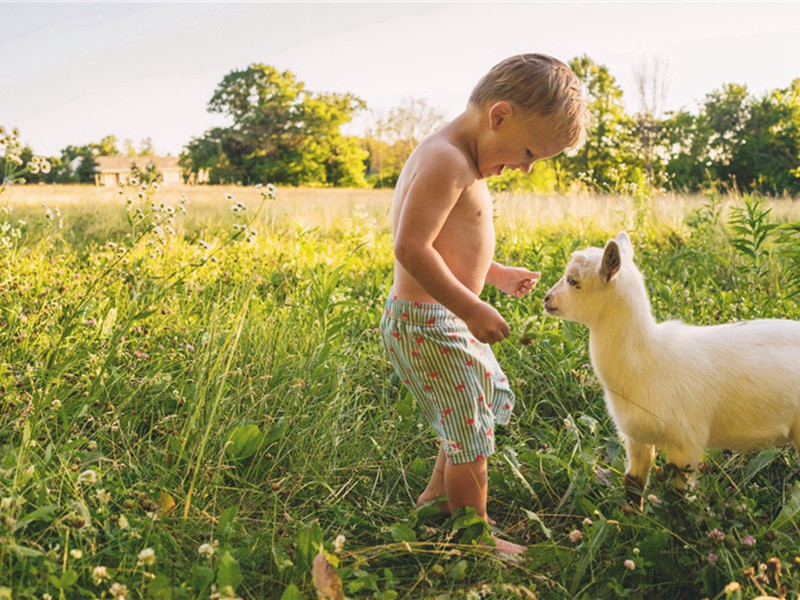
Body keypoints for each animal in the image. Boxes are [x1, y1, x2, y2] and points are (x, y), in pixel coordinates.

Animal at [544, 232, 800, 500]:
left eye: (573, 281)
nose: (546, 299)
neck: (647, 360)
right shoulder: (637, 437)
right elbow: (633, 485)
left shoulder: (686, 443)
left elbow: (677, 497)